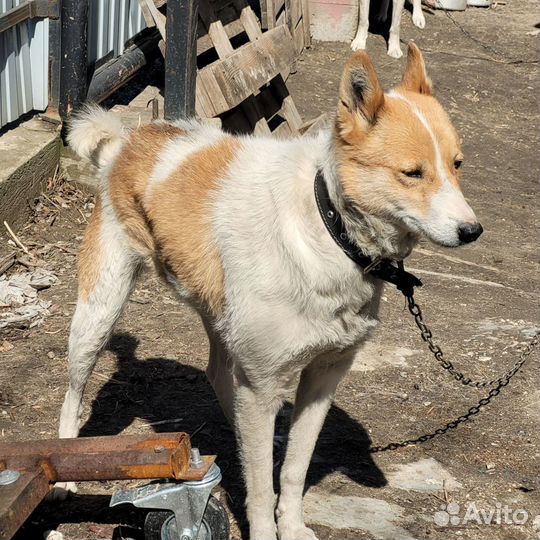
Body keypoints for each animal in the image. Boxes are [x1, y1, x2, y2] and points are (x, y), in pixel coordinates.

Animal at [59, 44, 480, 536]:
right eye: (412, 173)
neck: (329, 227)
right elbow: (261, 487)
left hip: (218, 316)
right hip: (98, 314)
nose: (472, 231)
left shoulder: (322, 379)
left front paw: (292, 525)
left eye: (457, 165)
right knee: (72, 394)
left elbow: (293, 470)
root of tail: (128, 140)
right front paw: (264, 528)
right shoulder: (262, 384)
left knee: (220, 375)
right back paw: (65, 474)